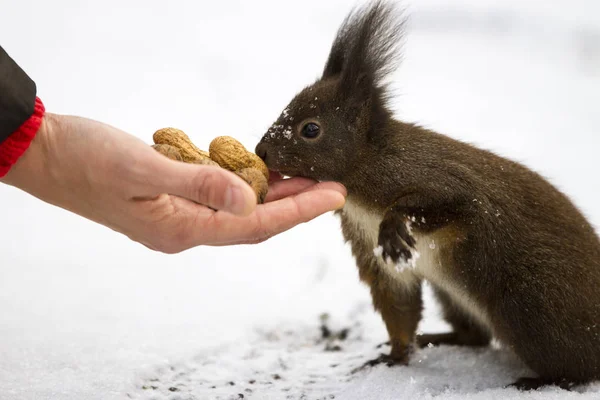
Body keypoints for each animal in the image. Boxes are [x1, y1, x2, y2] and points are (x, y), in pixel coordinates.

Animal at [253, 0, 600, 390]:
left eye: (310, 129)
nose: (261, 151)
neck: (366, 167)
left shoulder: (435, 179)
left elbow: (448, 203)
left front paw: (394, 227)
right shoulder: (367, 243)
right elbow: (398, 301)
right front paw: (394, 356)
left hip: (532, 309)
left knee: (580, 368)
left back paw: (544, 380)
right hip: (453, 296)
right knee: (476, 338)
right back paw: (438, 339)